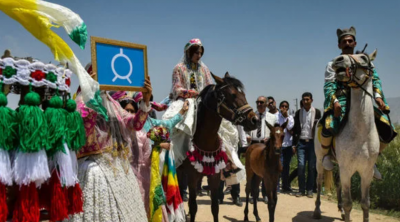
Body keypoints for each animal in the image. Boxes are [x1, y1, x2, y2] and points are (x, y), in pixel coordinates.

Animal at [177, 73, 256, 222]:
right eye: (233, 95)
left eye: (242, 93)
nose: (255, 120)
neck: (206, 141)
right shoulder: (192, 177)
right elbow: (193, 206)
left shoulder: (214, 176)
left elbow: (215, 207)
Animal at [312, 50, 378, 222]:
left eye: (364, 57)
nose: (338, 60)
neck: (361, 133)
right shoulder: (347, 169)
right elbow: (349, 203)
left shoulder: (366, 172)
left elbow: (365, 203)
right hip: (320, 160)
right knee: (319, 181)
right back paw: (317, 210)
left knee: (338, 184)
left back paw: (340, 210)